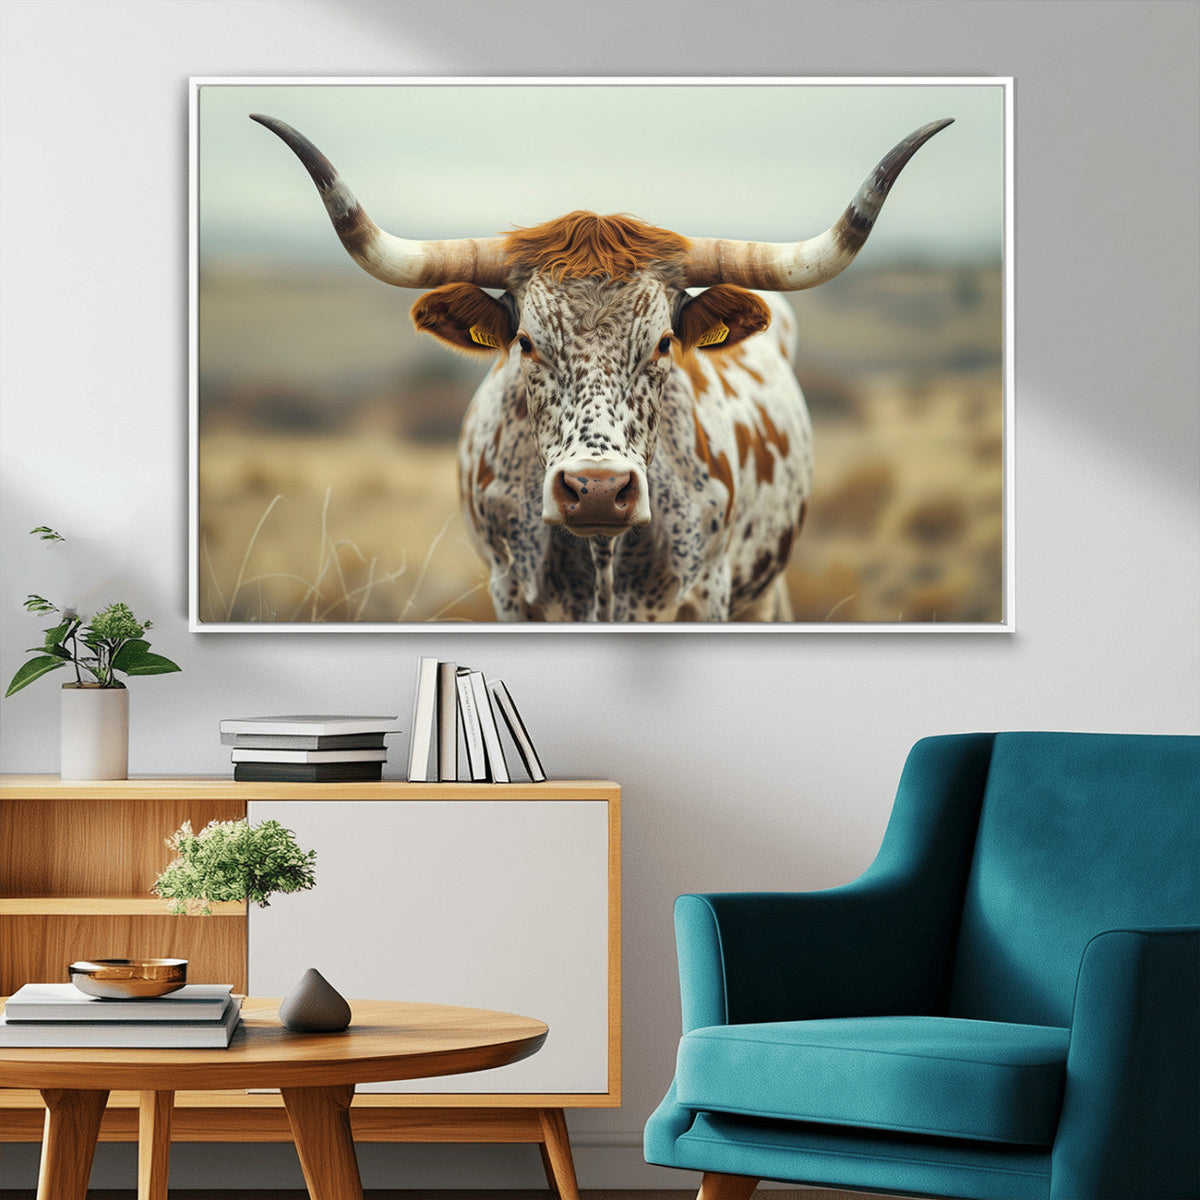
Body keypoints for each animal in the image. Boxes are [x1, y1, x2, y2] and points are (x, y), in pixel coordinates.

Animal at [251, 114, 952, 622]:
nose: (595, 490)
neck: (602, 555)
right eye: (526, 342)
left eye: (665, 342)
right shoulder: (512, 594)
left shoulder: (707, 594)